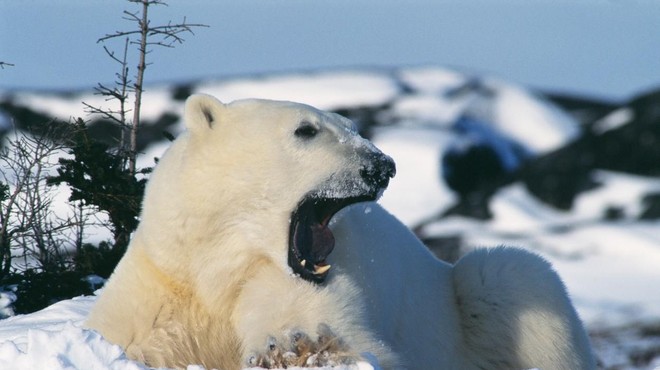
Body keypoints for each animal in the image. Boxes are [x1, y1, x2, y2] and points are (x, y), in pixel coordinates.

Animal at [85, 93, 596, 370]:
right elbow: (133, 338)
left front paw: (298, 348)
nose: (383, 165)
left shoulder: (307, 281)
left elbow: (329, 331)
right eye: (306, 130)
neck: (219, 268)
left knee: (511, 273)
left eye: (351, 124)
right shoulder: (165, 284)